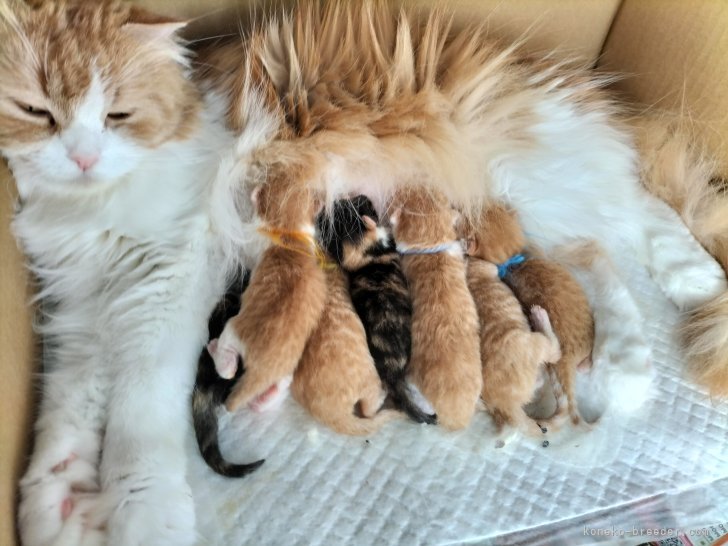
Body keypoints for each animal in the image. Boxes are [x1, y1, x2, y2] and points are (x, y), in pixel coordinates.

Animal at [0, 1, 242, 544]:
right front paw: (61, 497)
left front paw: (142, 512)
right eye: (37, 113)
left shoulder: (168, 281)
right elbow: (68, 408)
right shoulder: (86, 304)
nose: (84, 158)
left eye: (118, 116)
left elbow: (138, 411)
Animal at [208, 179, 328, 412]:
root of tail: (263, 369)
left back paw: (214, 348)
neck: (287, 232)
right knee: (276, 387)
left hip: (232, 331)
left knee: (228, 369)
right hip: (287, 368)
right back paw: (263, 400)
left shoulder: (251, 242)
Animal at [318, 195, 436, 424]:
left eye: (342, 207)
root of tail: (391, 373)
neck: (364, 256)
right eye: (358, 205)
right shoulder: (390, 242)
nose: (363, 196)